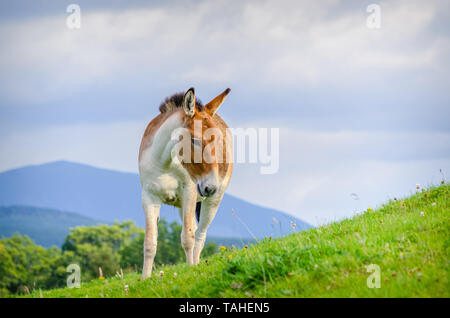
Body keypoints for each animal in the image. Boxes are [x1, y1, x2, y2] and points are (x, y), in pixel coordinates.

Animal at [139, 87, 234, 278]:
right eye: (196, 141)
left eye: (219, 141)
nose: (211, 187)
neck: (164, 164)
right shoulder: (149, 197)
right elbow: (150, 243)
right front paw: (145, 279)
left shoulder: (189, 191)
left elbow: (188, 238)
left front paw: (191, 272)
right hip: (183, 205)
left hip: (212, 201)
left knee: (200, 234)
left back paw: (196, 265)